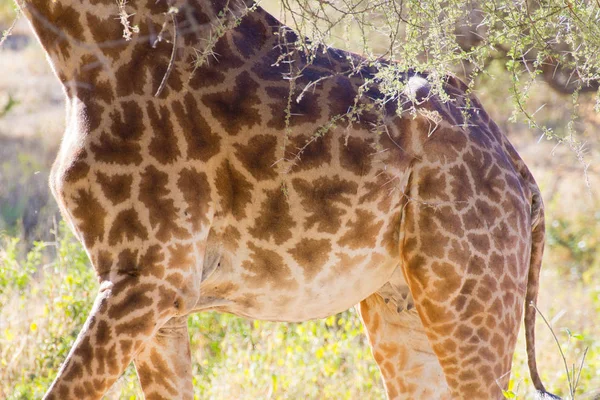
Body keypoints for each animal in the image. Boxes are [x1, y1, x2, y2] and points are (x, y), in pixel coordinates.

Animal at [12, 0, 556, 398]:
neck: (83, 54)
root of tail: (515, 162)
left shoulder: (146, 277)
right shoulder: (158, 298)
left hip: (467, 303)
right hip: (401, 306)